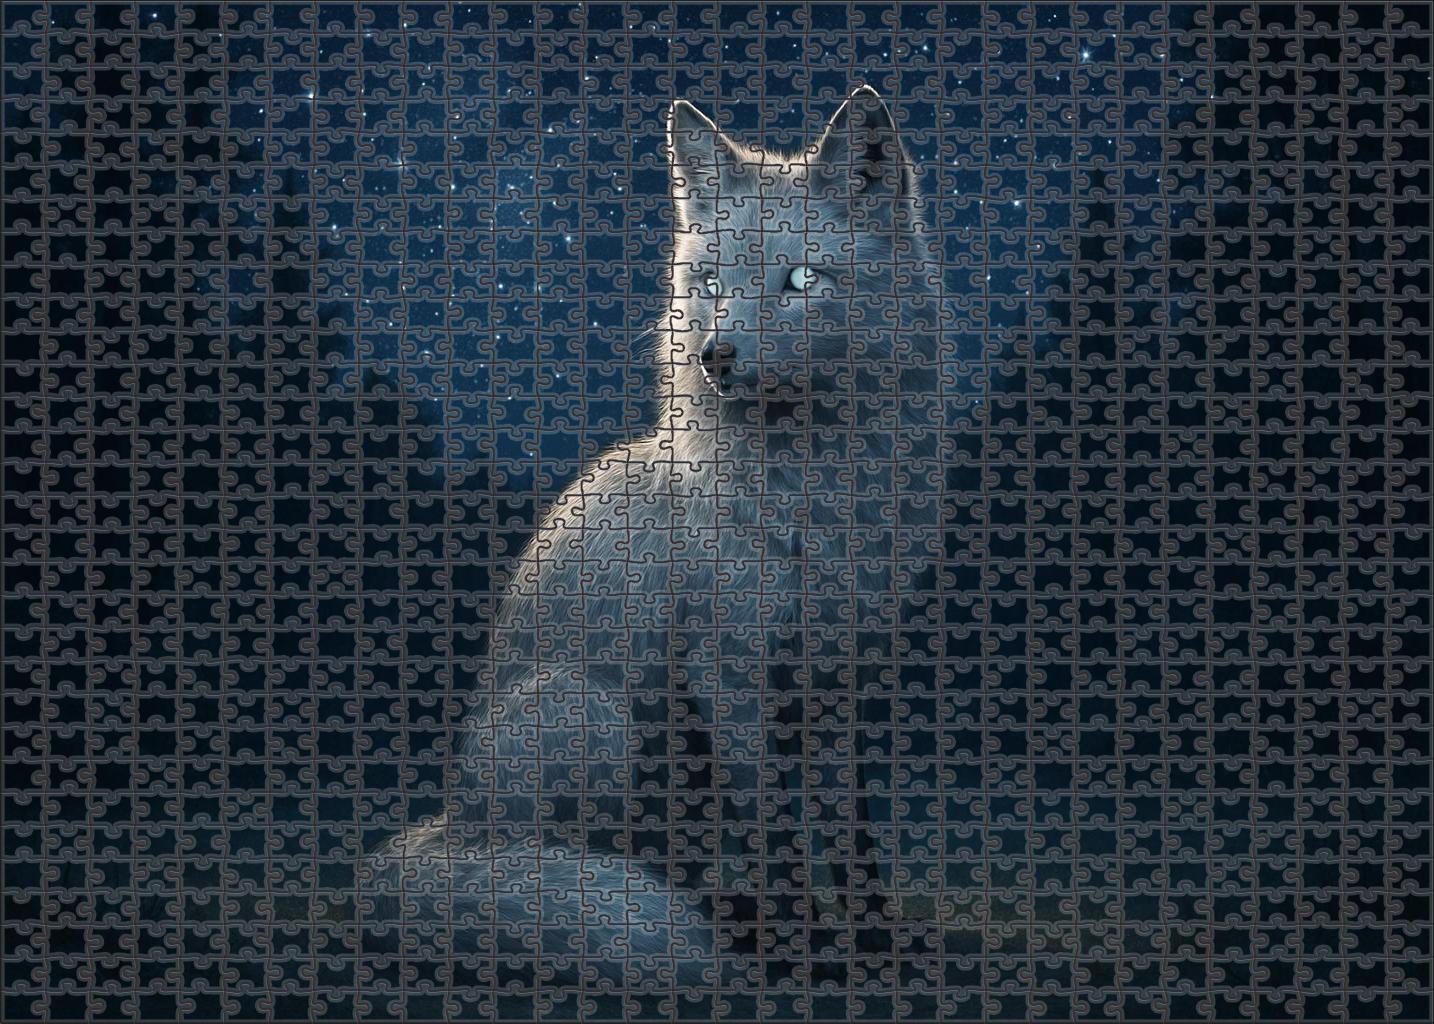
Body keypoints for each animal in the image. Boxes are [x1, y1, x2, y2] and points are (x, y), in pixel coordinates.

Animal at [368, 86, 976, 1001]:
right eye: (711, 282)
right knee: (586, 875)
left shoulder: (838, 678)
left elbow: (851, 837)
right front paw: (807, 954)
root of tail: (449, 829)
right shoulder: (728, 675)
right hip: (598, 721)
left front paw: (873, 948)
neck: (813, 512)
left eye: (802, 280)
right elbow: (778, 838)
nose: (716, 355)